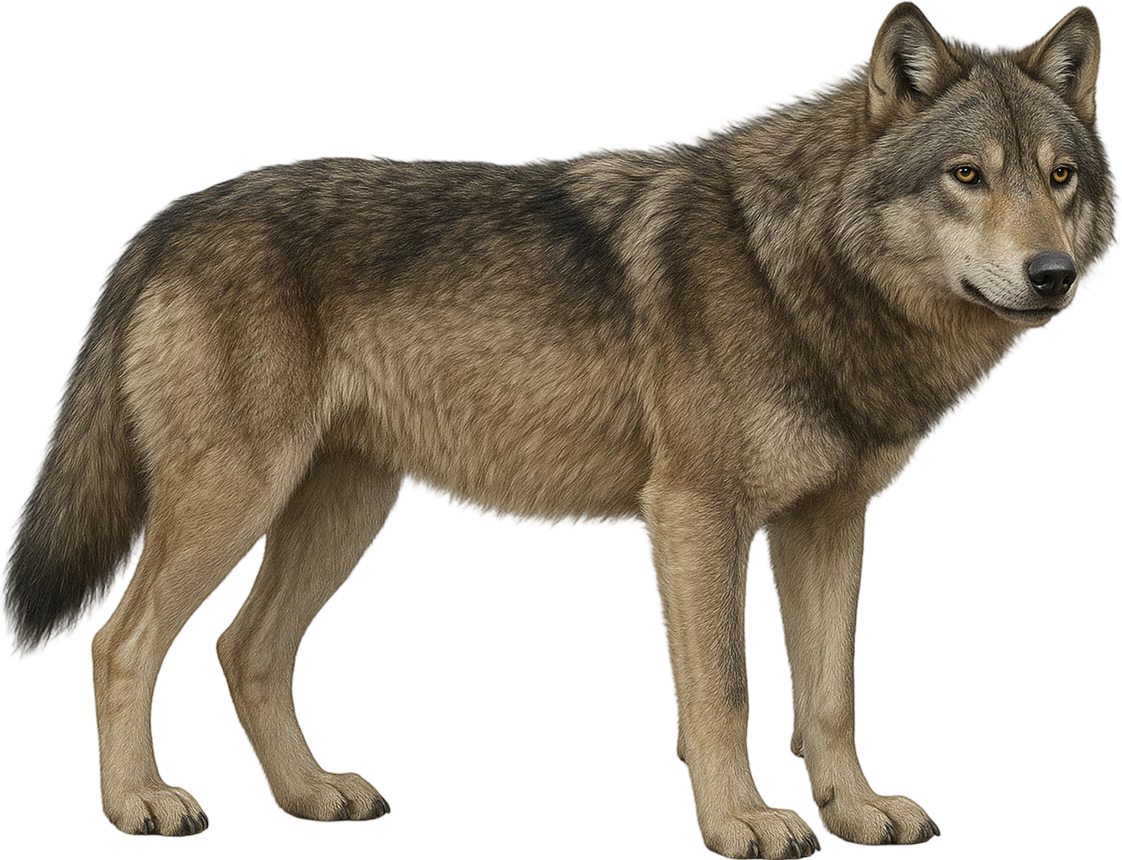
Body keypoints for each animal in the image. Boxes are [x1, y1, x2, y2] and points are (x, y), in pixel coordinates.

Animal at [2, 3, 1115, 856]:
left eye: (1059, 176)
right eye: (967, 174)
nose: (1052, 274)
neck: (798, 270)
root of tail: (165, 221)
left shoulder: (828, 525)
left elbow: (829, 694)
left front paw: (853, 811)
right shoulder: (696, 517)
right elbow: (727, 690)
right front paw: (743, 823)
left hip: (342, 513)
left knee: (245, 647)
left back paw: (311, 793)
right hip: (235, 501)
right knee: (120, 642)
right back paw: (140, 804)